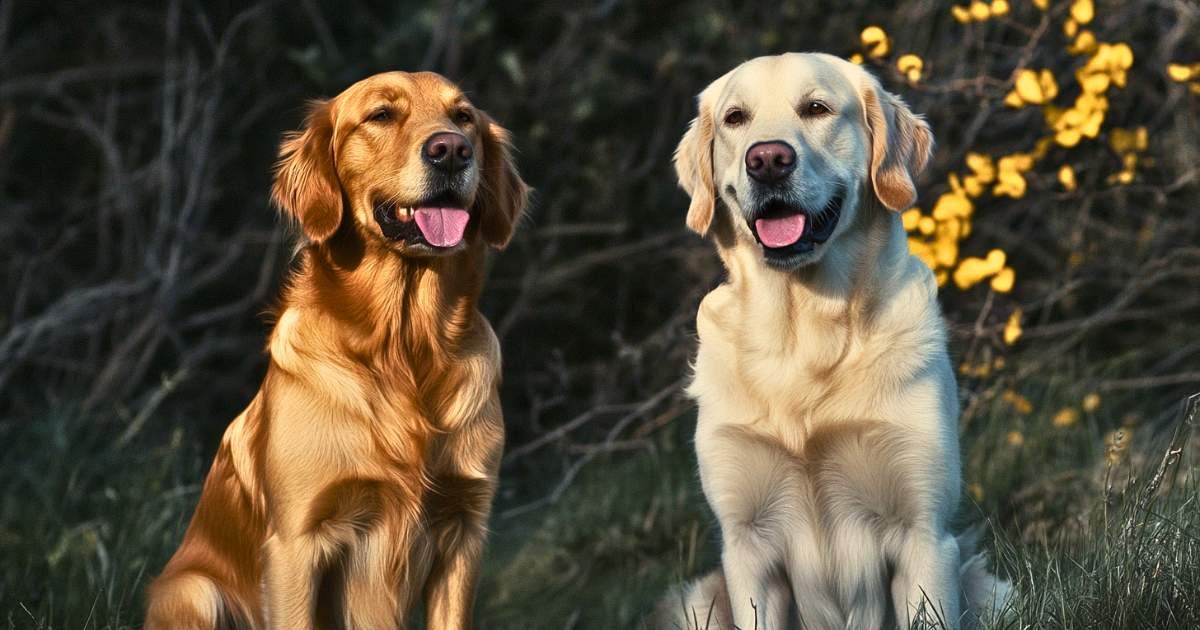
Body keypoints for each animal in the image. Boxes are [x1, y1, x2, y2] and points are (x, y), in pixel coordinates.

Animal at [657, 51, 1012, 624]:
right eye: (736, 118)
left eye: (817, 109)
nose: (768, 160)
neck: (804, 333)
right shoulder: (747, 546)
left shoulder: (923, 533)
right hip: (702, 598)